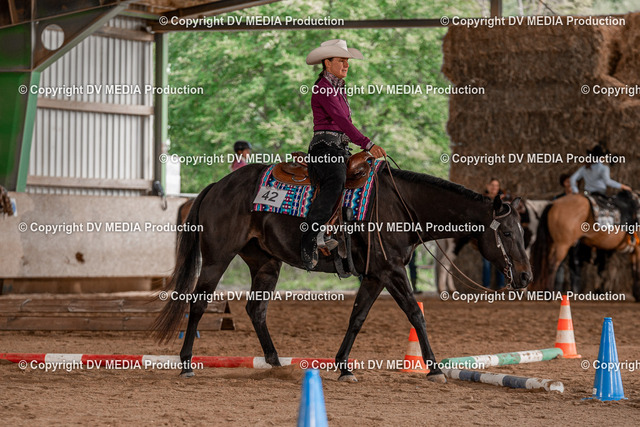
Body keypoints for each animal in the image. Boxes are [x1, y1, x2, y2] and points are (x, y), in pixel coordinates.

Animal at [154, 162, 532, 383]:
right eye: (507, 232)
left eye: (522, 229)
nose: (527, 277)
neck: (400, 206)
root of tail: (216, 186)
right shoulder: (393, 271)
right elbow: (415, 314)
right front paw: (435, 368)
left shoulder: (375, 275)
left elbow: (357, 317)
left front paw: (343, 365)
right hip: (216, 259)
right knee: (198, 304)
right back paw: (186, 363)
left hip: (265, 263)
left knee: (256, 309)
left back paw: (274, 361)